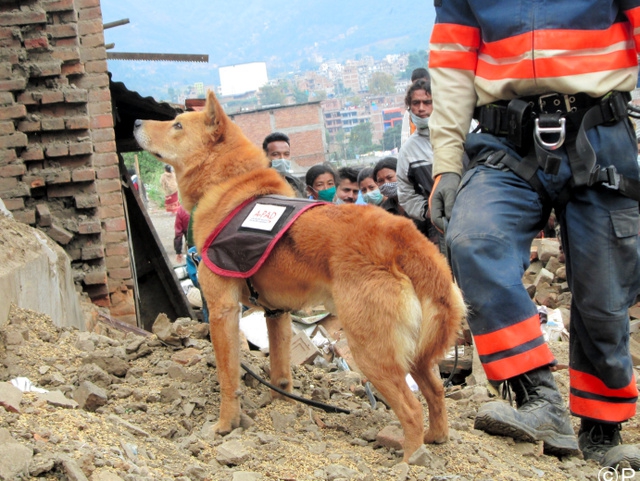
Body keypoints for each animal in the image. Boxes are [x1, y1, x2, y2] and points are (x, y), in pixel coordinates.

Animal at [134, 91, 464, 462]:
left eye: (176, 125)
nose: (136, 122)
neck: (229, 186)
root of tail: (401, 236)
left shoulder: (222, 310)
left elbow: (228, 376)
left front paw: (226, 424)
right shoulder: (276, 313)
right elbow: (280, 373)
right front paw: (281, 406)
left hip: (372, 352)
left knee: (411, 408)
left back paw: (410, 459)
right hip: (417, 353)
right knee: (435, 392)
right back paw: (436, 437)